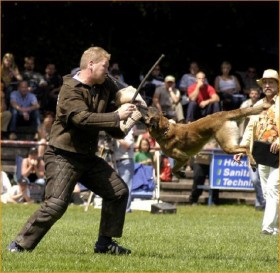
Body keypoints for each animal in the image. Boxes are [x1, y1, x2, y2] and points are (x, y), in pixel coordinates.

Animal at [140, 103, 272, 173]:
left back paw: (253, 163)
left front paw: (178, 174)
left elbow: (173, 169)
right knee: (245, 147)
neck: (165, 130)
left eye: (147, 110)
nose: (139, 104)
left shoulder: (183, 158)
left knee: (245, 148)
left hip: (226, 146)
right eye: (150, 108)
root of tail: (223, 113)